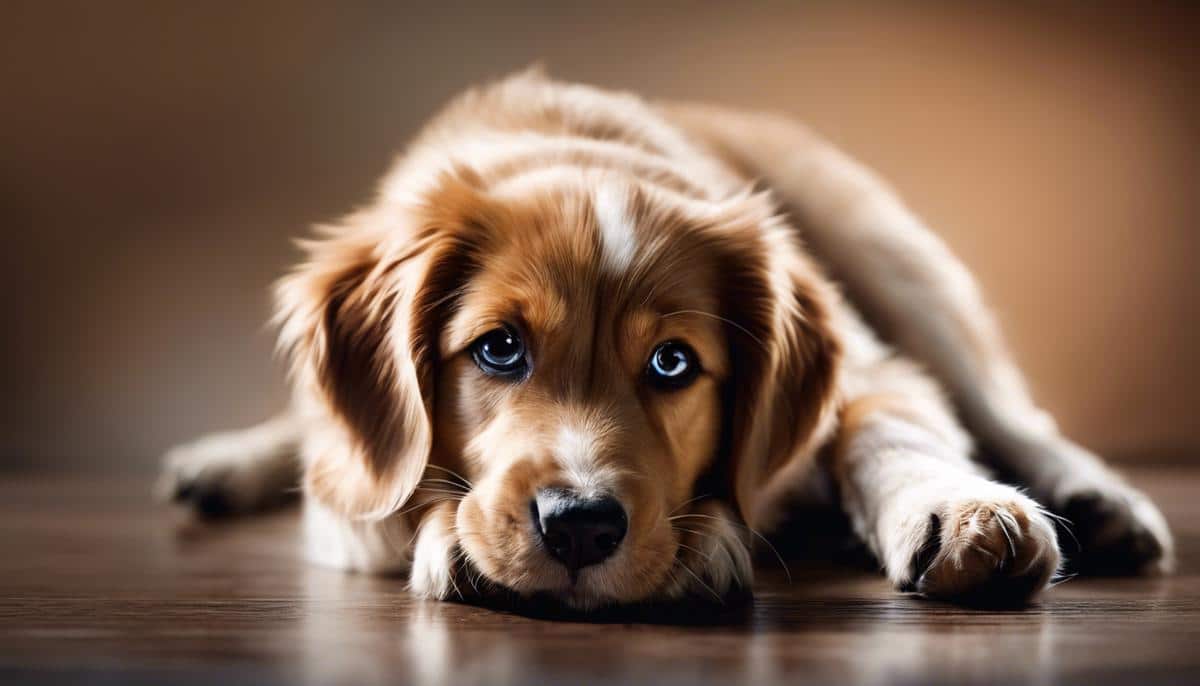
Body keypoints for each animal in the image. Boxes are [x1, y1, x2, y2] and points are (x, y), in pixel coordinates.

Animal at [159, 71, 1171, 611]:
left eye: (672, 362)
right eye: (498, 350)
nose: (579, 526)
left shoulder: (873, 364)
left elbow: (890, 428)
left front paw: (959, 511)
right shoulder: (353, 486)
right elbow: (380, 491)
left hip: (889, 253)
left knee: (1007, 409)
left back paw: (1099, 501)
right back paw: (223, 464)